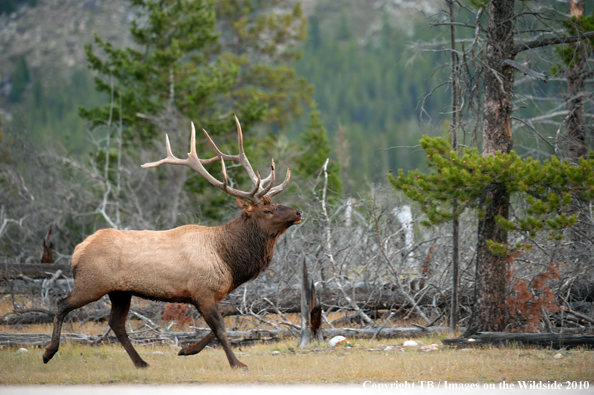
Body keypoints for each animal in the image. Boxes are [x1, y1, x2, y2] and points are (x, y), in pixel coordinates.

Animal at [41, 116, 300, 370]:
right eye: (267, 210)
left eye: (276, 204)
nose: (298, 212)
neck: (229, 259)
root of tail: (78, 250)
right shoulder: (203, 291)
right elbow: (221, 329)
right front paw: (237, 363)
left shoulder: (208, 296)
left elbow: (216, 329)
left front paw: (187, 349)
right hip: (92, 283)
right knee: (62, 303)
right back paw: (48, 352)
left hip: (120, 291)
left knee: (116, 322)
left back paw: (141, 362)